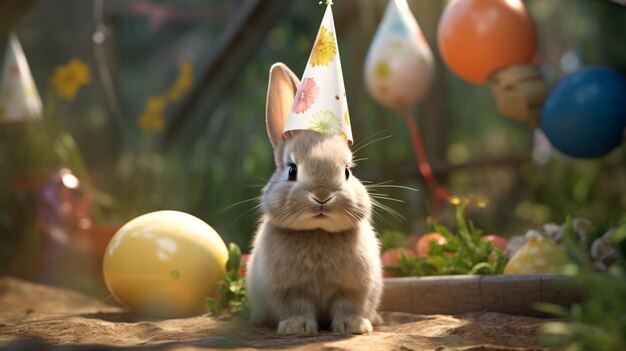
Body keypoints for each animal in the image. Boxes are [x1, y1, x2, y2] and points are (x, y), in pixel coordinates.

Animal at [243, 64, 380, 338]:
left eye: (347, 171)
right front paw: (298, 328)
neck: (318, 232)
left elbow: (348, 305)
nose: (322, 195)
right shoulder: (289, 290)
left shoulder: (353, 288)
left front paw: (353, 326)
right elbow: (297, 306)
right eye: (292, 170)